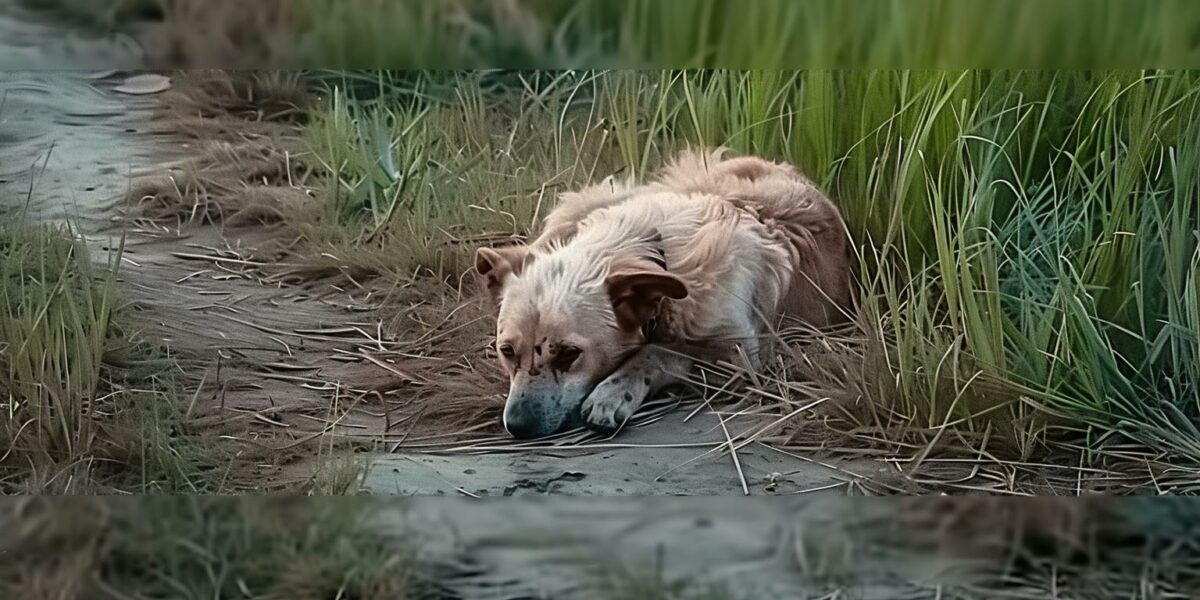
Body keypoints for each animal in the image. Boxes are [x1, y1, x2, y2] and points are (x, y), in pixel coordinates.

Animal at [477, 148, 854, 441]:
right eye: (507, 351)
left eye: (570, 354)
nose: (518, 425)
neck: (654, 252)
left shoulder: (739, 356)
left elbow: (659, 352)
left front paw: (614, 390)